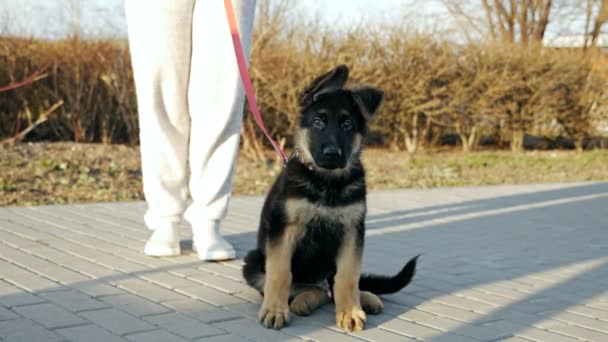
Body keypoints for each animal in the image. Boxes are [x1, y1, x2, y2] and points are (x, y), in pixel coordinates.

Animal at [242, 63, 418, 332]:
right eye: (318, 121)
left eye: (347, 125)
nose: (332, 154)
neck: (327, 182)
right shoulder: (284, 229)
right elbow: (280, 273)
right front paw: (274, 310)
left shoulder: (352, 231)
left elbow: (348, 276)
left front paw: (350, 311)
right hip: (253, 261)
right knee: (306, 288)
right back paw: (302, 300)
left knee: (331, 288)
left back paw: (364, 298)